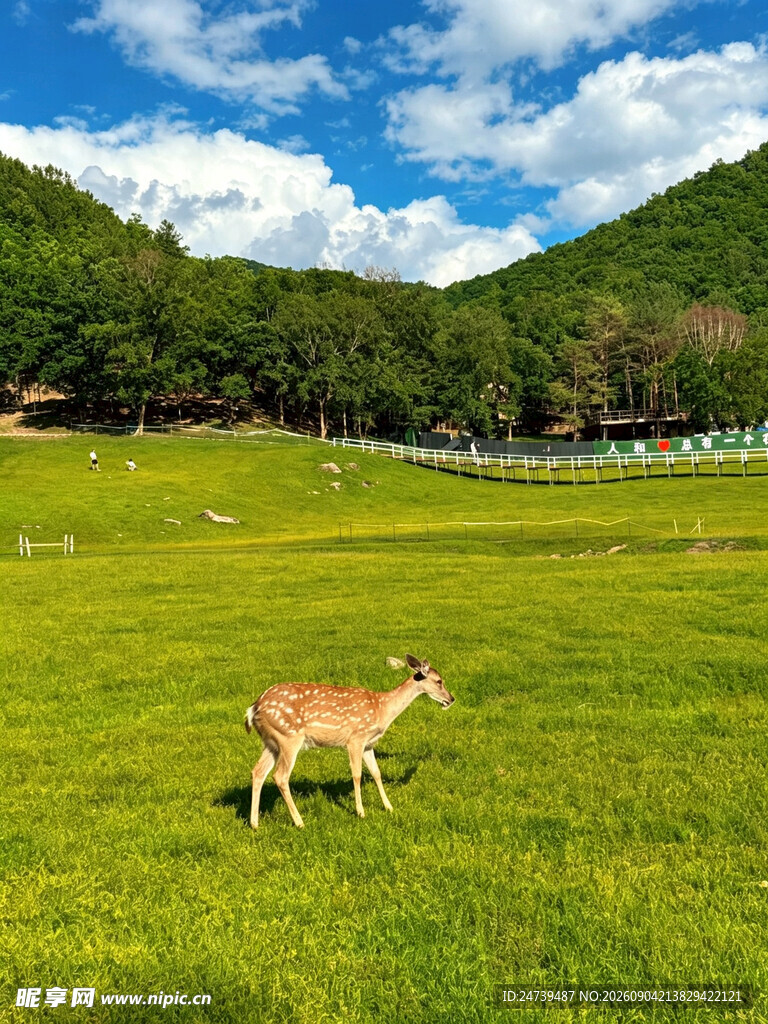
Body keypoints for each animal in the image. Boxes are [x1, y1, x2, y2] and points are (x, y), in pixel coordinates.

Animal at [244, 654, 454, 828]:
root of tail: (253, 709)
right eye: (439, 681)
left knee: (258, 772)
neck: (382, 709)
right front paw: (361, 812)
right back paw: (299, 822)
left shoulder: (369, 744)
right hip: (289, 736)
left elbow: (376, 773)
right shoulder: (355, 738)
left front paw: (389, 806)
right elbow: (357, 774)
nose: (451, 699)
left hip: (272, 742)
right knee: (280, 776)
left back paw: (254, 823)